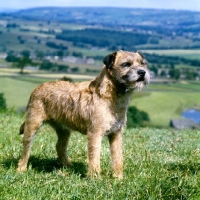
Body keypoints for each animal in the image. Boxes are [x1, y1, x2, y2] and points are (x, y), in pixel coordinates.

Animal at [17, 50, 150, 178]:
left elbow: (118, 157)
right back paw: (21, 168)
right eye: (126, 64)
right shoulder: (95, 134)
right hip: (32, 125)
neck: (110, 94)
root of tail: (37, 88)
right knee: (26, 148)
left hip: (64, 130)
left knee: (59, 146)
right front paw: (95, 178)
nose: (142, 72)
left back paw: (68, 166)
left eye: (143, 63)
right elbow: (94, 157)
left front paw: (118, 178)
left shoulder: (116, 134)